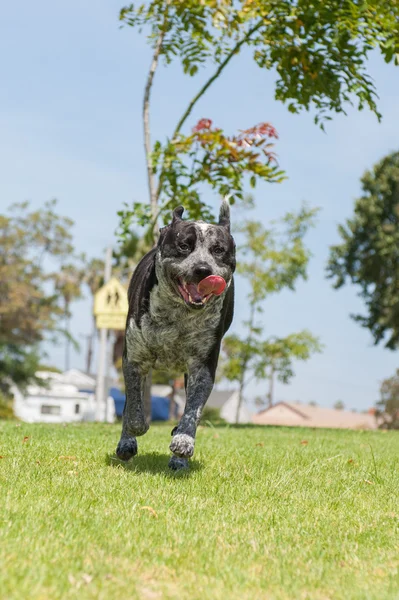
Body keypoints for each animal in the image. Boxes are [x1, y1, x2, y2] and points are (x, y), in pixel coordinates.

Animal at [115, 197, 236, 468]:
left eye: (218, 250)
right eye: (183, 246)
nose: (203, 269)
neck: (179, 314)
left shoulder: (203, 368)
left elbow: (192, 411)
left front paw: (182, 441)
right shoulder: (134, 359)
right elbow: (133, 409)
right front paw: (135, 430)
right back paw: (127, 443)